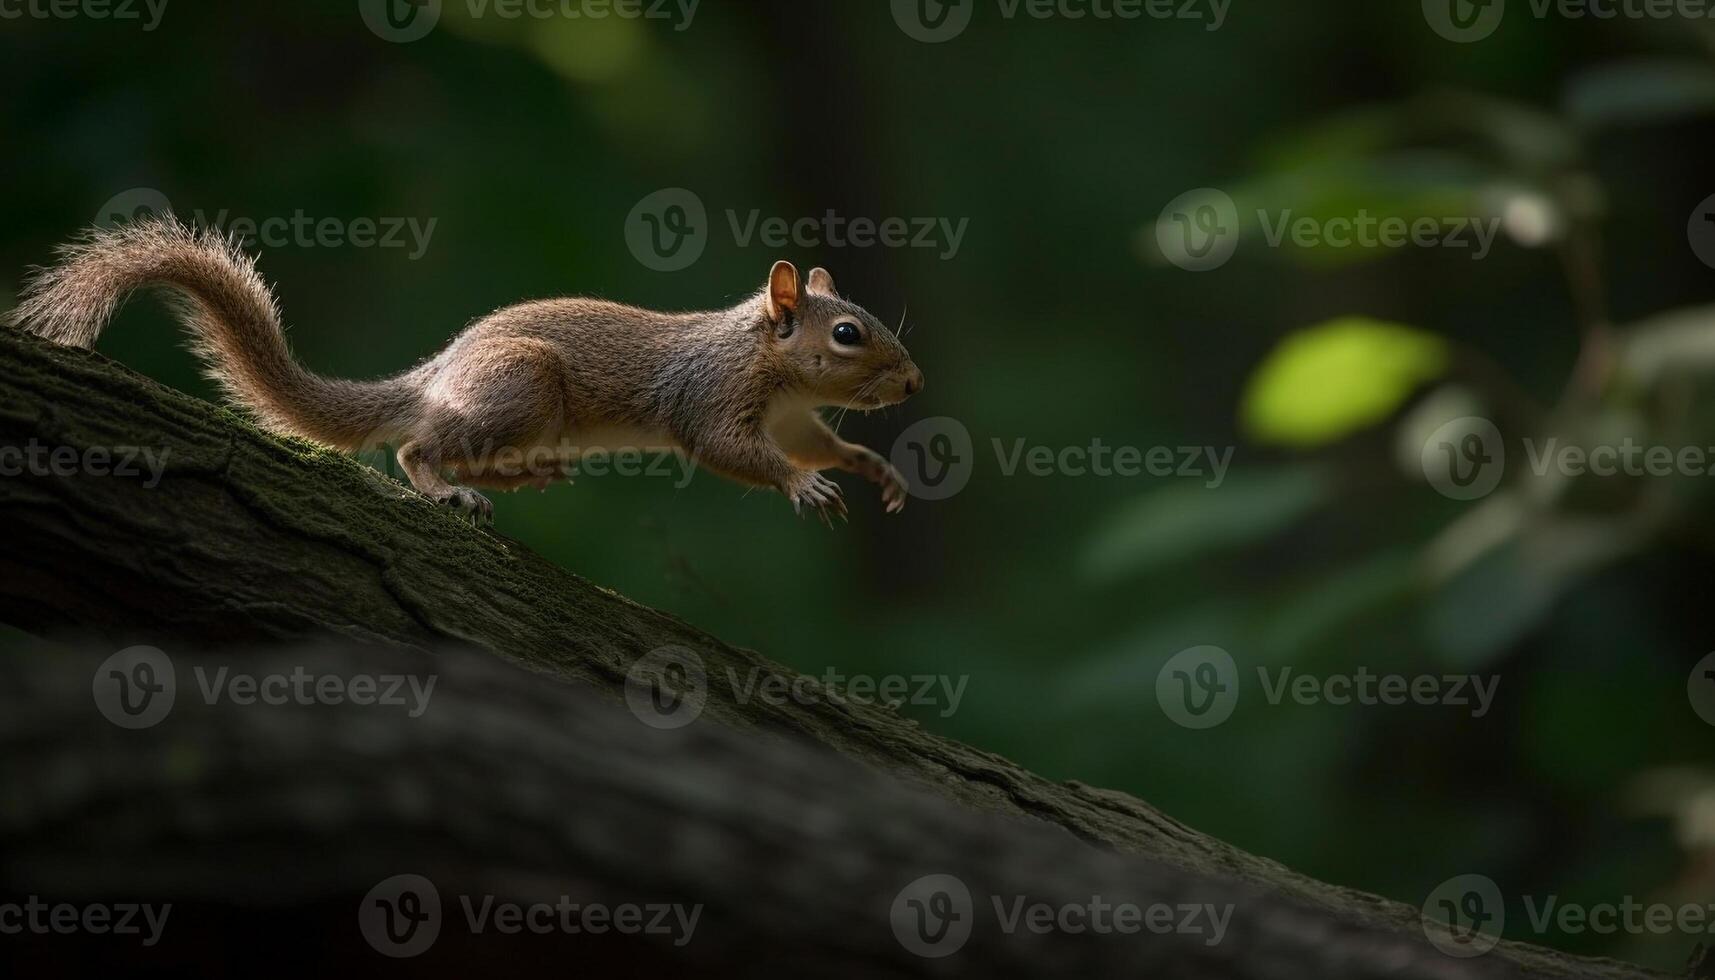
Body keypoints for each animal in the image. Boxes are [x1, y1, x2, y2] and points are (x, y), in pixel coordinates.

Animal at [3, 218, 926, 525]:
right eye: (848, 333)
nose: (914, 384)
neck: (767, 360)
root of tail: (434, 376)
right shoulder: (713, 396)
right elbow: (729, 450)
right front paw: (800, 487)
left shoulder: (790, 415)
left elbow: (817, 443)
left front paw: (869, 468)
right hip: (518, 392)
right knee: (418, 449)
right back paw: (447, 487)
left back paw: (523, 479)